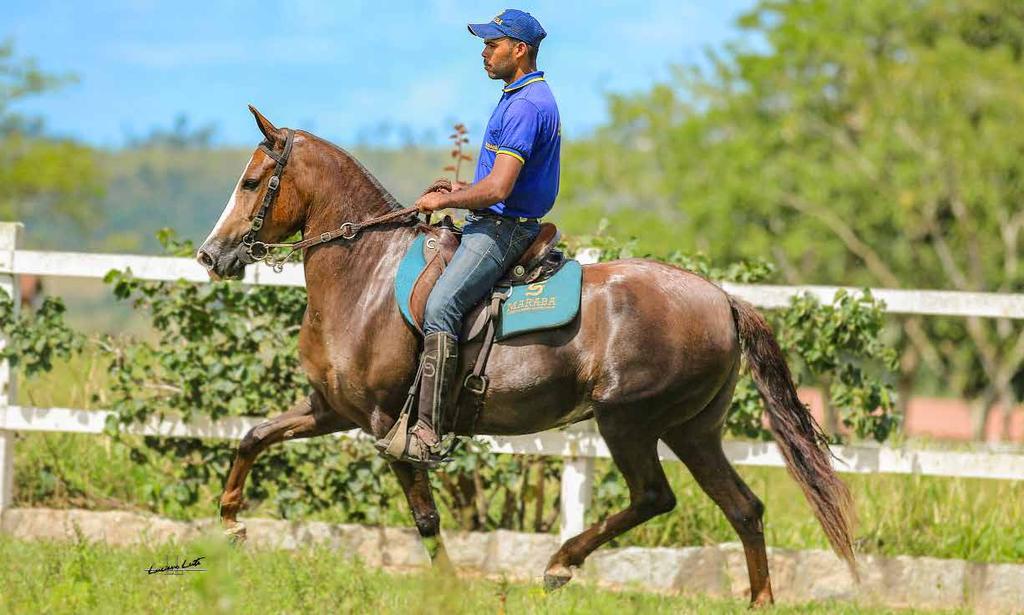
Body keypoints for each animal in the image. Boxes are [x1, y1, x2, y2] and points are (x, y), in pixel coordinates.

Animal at [195, 106, 851, 605]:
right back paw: (757, 600)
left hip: (629, 422)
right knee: (744, 507)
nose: (210, 256)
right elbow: (254, 436)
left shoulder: (387, 424)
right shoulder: (331, 409)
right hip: (693, 430)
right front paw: (231, 522)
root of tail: (722, 300)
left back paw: (560, 564)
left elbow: (426, 517)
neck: (367, 277)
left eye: (251, 183)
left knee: (653, 497)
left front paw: (450, 589)